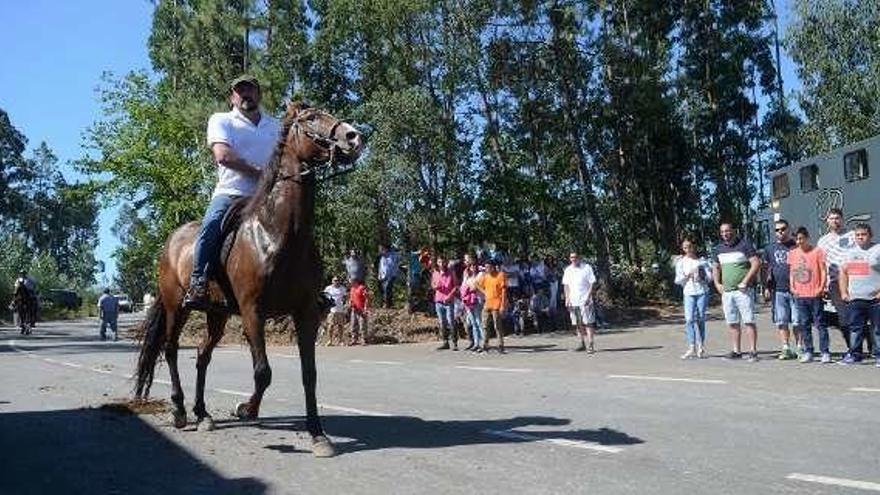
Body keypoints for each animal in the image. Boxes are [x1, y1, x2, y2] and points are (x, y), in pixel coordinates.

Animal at [131, 101, 364, 458]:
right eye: (311, 118)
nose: (354, 136)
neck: (279, 234)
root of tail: (171, 241)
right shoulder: (253, 311)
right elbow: (263, 372)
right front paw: (246, 409)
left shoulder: (306, 312)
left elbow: (309, 374)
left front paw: (317, 435)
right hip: (176, 306)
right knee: (170, 350)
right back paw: (180, 410)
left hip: (216, 314)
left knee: (203, 356)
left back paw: (203, 414)